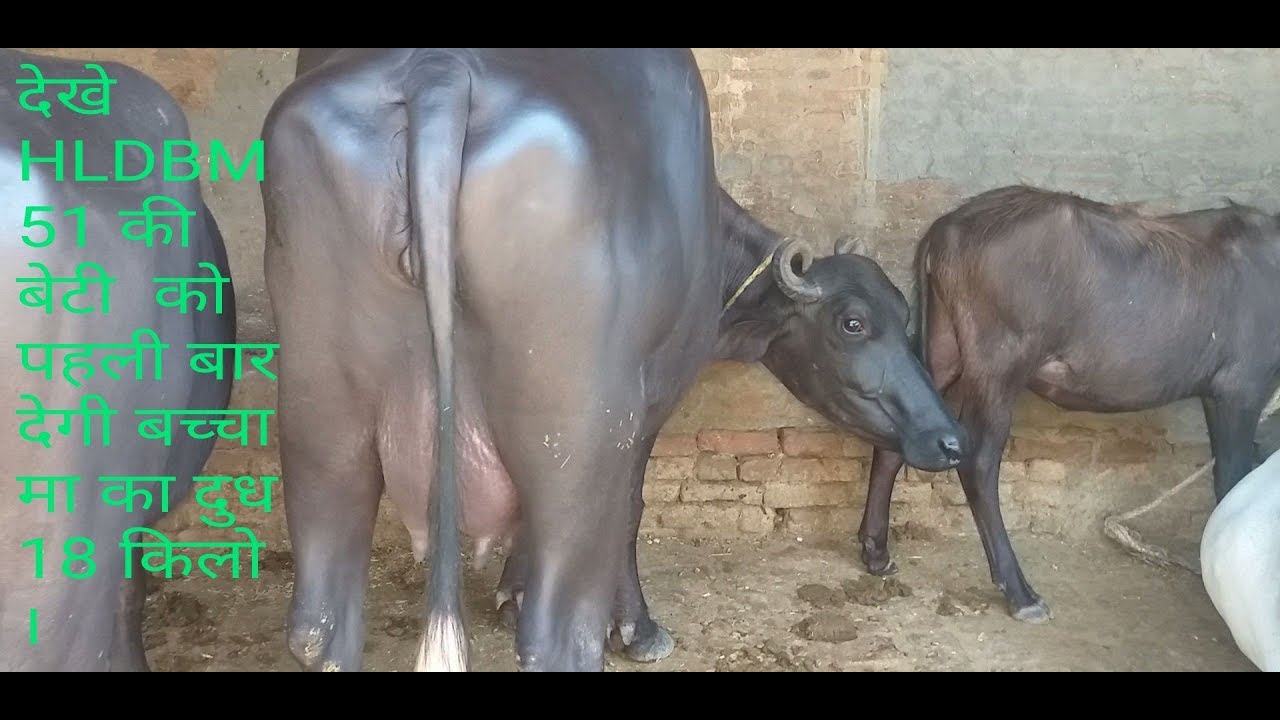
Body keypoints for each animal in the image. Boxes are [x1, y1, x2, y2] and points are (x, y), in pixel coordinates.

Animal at [263, 47, 965, 672]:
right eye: (854, 324)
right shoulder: (645, 412)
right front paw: (638, 629)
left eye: (905, 314)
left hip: (323, 425)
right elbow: (631, 512)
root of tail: (440, 73)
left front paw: (510, 589)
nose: (949, 439)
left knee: (319, 627)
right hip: (578, 437)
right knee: (558, 636)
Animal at [855, 184, 1280, 625]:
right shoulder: (1240, 387)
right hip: (999, 364)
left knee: (900, 435)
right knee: (979, 462)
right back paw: (1020, 593)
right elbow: (1231, 481)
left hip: (944, 348)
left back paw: (876, 550)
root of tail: (944, 232)